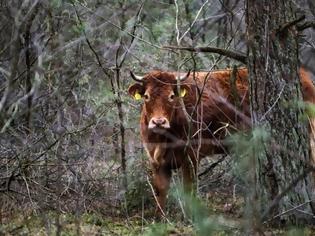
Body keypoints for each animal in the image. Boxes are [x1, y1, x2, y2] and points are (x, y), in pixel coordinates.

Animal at [128, 67, 315, 215]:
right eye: (146, 96)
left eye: (172, 96)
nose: (158, 122)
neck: (163, 139)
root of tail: (303, 76)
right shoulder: (156, 161)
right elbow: (160, 191)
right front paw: (160, 219)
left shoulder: (191, 156)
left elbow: (189, 188)